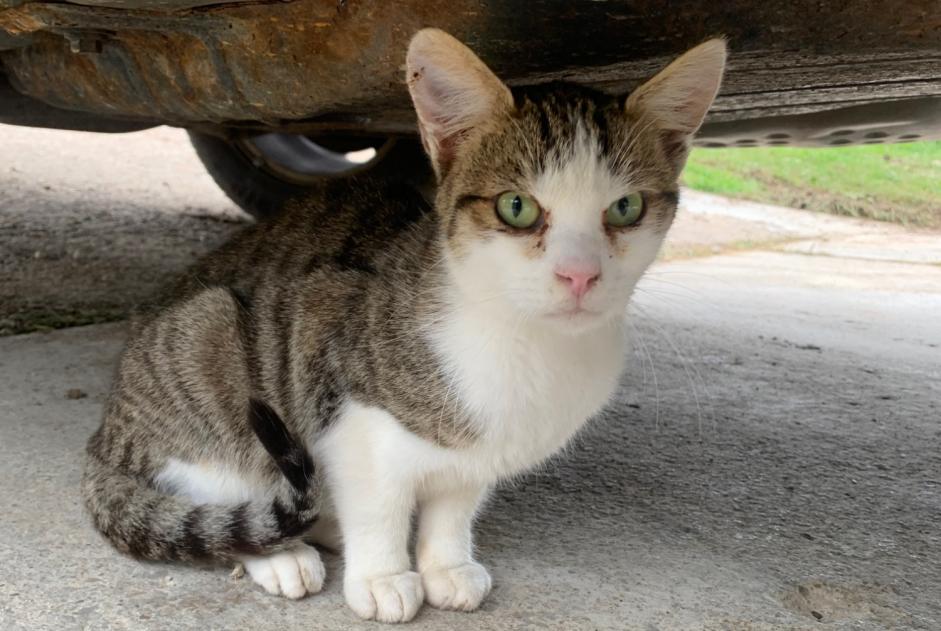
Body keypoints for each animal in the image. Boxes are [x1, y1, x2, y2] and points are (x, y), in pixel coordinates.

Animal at [82, 28, 728, 624]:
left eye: (626, 208)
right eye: (517, 207)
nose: (579, 275)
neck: (526, 343)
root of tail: (107, 434)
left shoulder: (475, 448)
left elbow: (455, 503)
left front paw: (446, 564)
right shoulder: (340, 383)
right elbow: (378, 503)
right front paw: (384, 575)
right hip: (208, 338)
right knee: (226, 492)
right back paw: (283, 552)